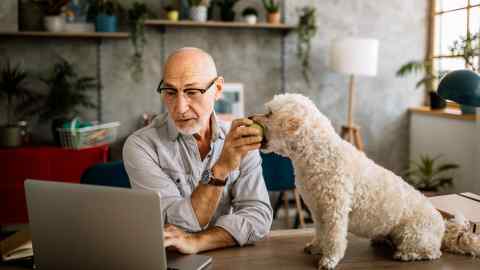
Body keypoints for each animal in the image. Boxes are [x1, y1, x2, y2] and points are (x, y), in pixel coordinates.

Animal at [251, 94, 480, 268]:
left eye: (269, 113)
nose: (250, 116)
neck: (317, 153)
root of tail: (442, 226)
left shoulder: (335, 210)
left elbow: (333, 237)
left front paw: (329, 259)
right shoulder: (318, 210)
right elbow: (321, 233)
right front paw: (316, 247)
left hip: (413, 234)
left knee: (432, 253)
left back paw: (407, 254)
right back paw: (382, 240)